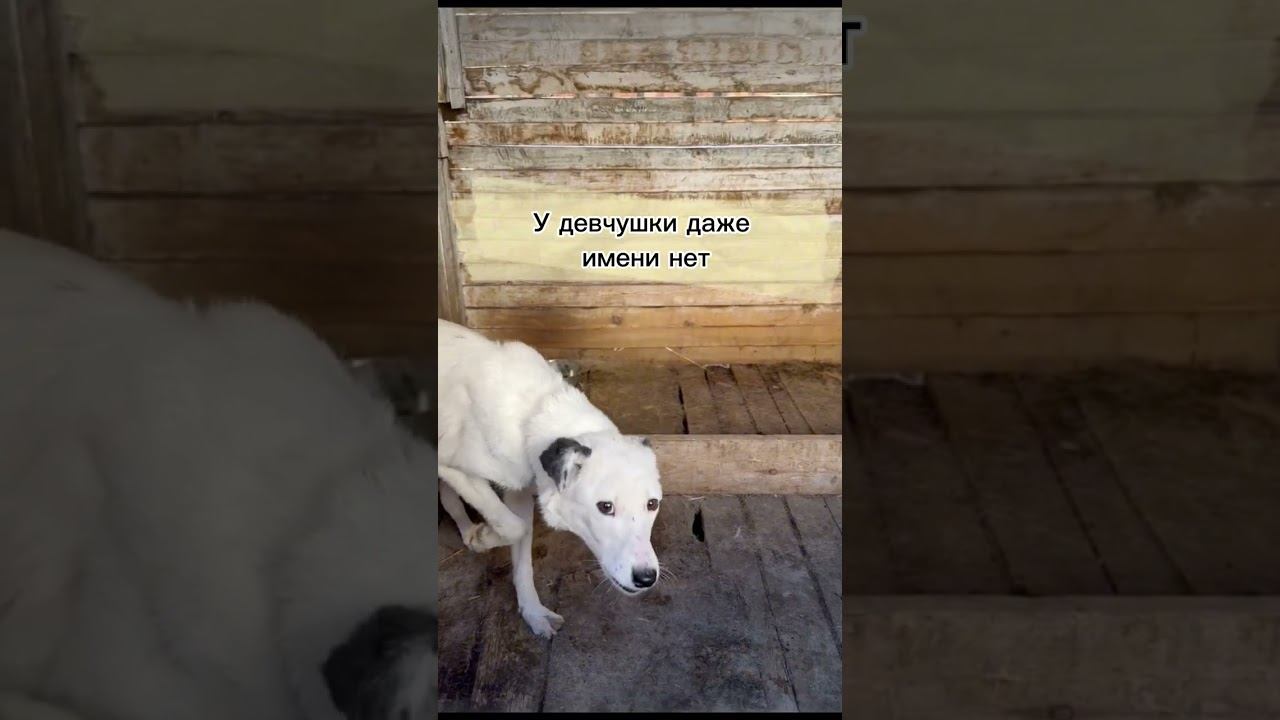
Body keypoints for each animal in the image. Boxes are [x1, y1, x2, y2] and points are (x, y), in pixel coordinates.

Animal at [436, 319, 663, 637]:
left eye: (652, 504)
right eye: (605, 507)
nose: (646, 578)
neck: (532, 414)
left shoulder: (519, 488)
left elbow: (521, 551)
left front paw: (533, 612)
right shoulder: (452, 467)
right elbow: (512, 526)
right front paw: (484, 538)